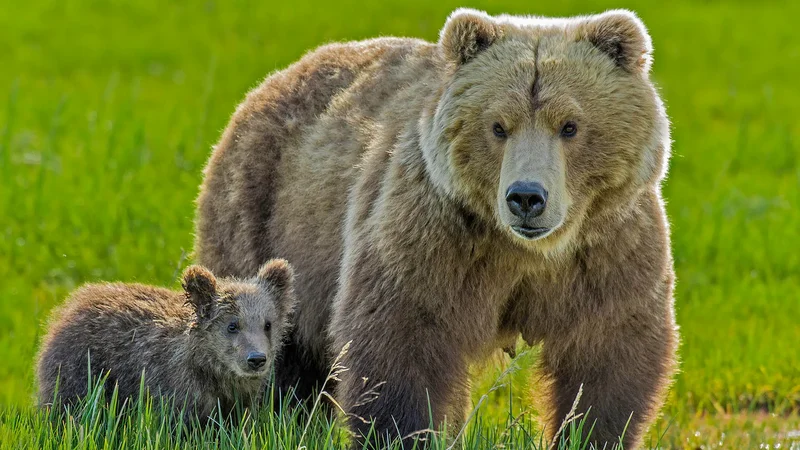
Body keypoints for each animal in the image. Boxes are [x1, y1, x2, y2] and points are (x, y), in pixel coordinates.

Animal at [36, 259, 296, 421]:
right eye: (233, 325)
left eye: (267, 324)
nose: (256, 359)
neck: (211, 370)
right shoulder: (174, 391)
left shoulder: (238, 399)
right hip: (81, 371)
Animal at [194, 8, 678, 448]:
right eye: (498, 126)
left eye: (570, 125)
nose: (525, 197)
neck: (526, 253)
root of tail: (277, 78)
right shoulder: (433, 236)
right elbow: (402, 337)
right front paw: (402, 433)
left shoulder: (607, 248)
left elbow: (608, 353)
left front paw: (589, 432)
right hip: (267, 213)